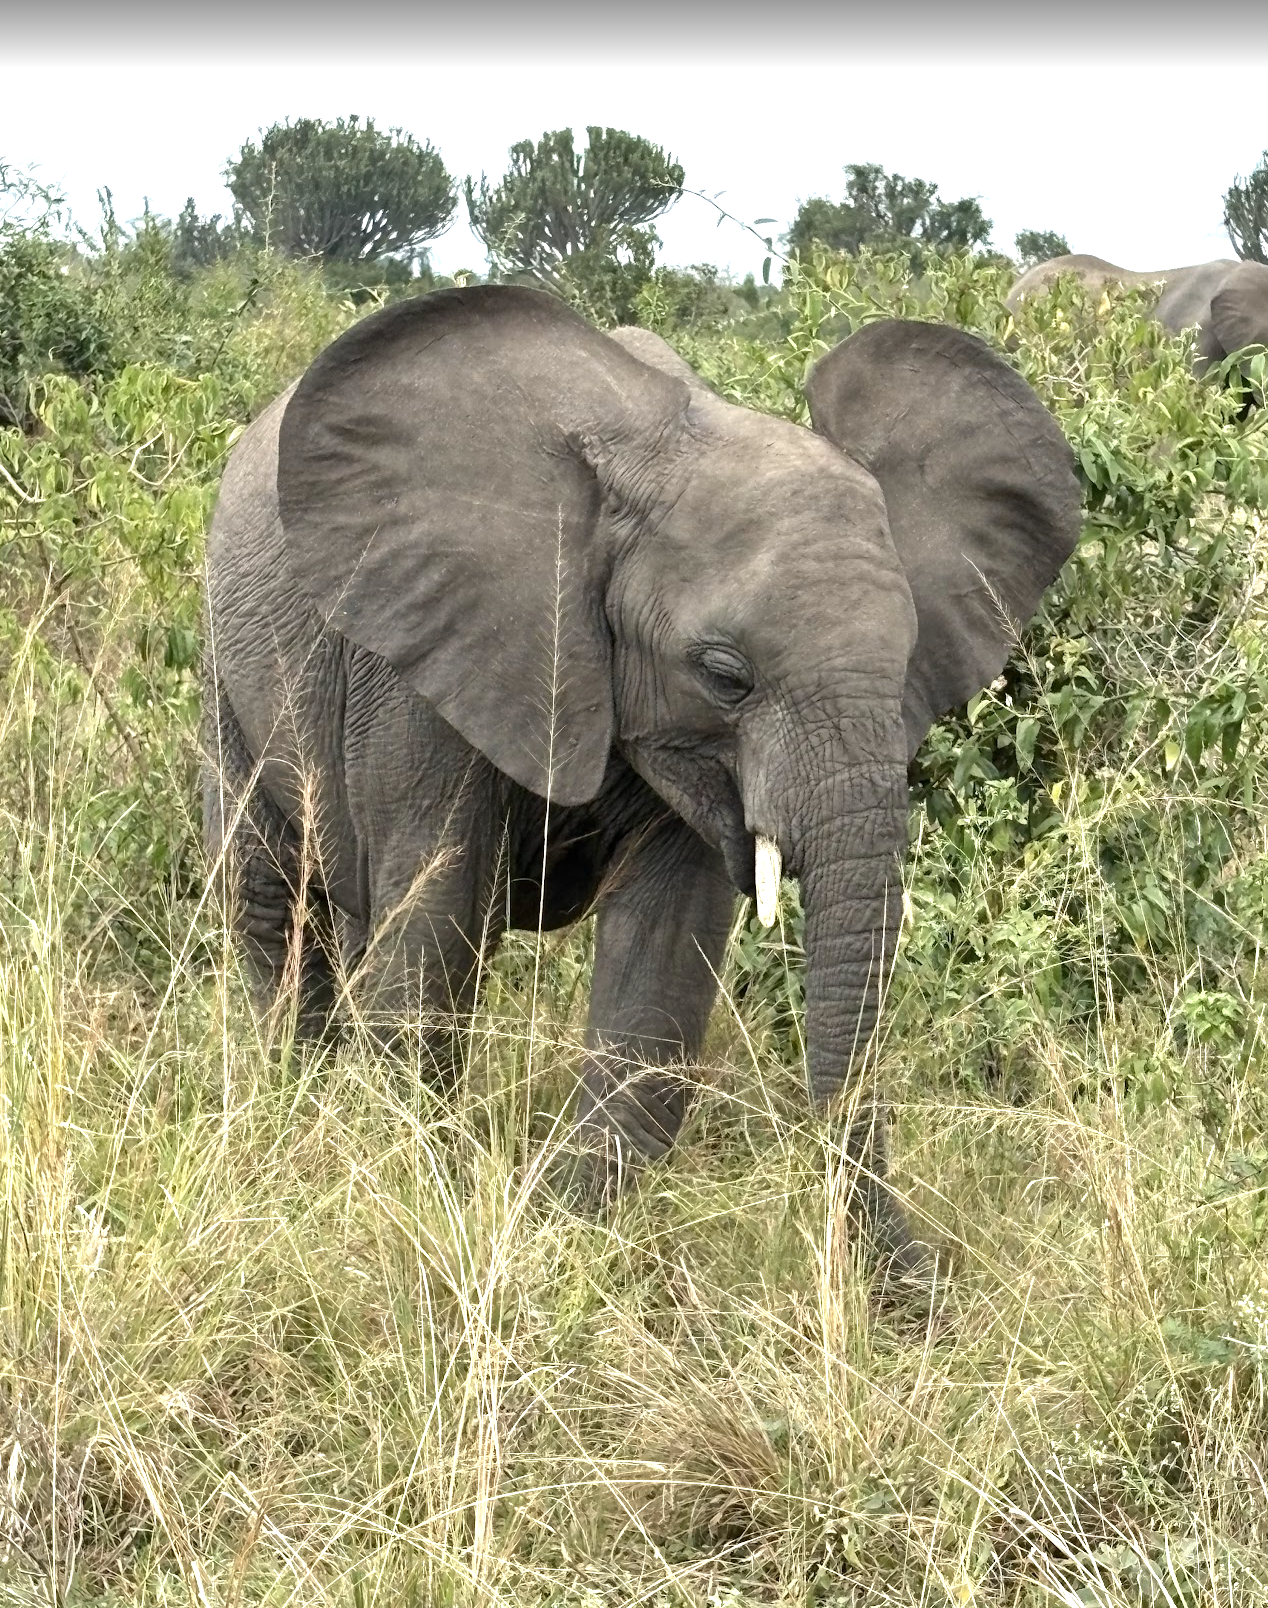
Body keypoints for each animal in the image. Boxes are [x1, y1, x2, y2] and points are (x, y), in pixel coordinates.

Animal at [202, 284, 1080, 1282]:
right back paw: (290, 1101)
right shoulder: (420, 660)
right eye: (726, 674)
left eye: (906, 663)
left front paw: (565, 1228)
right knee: (274, 902)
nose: (924, 1279)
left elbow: (662, 960)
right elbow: (432, 925)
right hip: (230, 667)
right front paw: (427, 1194)